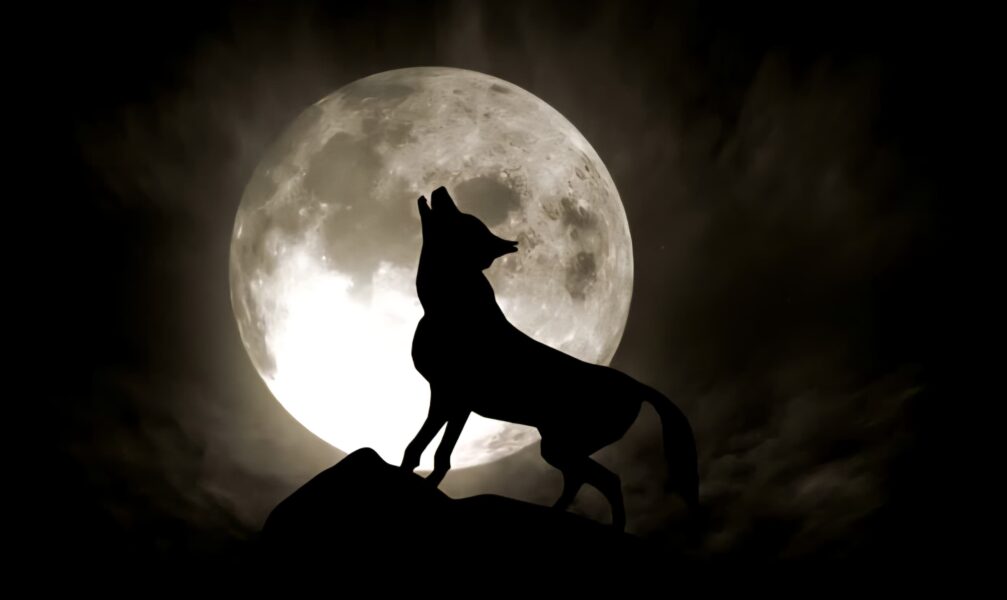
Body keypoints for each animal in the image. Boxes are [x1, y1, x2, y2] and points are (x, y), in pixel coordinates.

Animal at [401, 186, 698, 530]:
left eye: (465, 221)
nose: (440, 189)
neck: (447, 307)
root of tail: (637, 386)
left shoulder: (456, 399)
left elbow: (431, 453)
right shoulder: (449, 399)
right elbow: (427, 451)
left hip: (561, 446)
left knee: (607, 480)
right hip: (558, 447)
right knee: (585, 480)